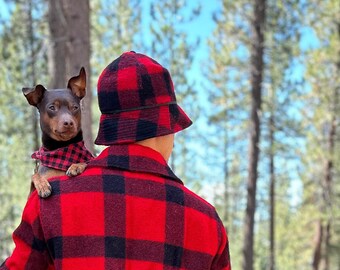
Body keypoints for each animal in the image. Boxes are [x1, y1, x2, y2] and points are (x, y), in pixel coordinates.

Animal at [22, 67, 93, 198]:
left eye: (75, 107)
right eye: (52, 108)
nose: (68, 123)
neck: (61, 149)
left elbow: (88, 160)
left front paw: (76, 165)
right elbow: (34, 175)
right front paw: (43, 185)